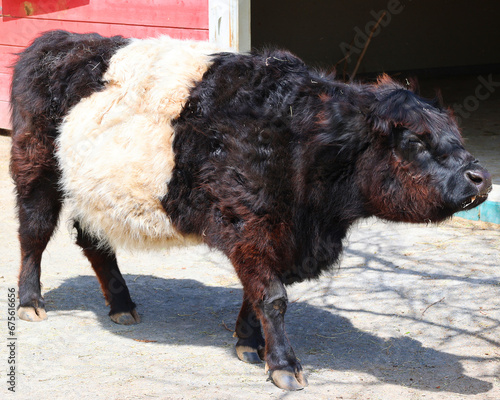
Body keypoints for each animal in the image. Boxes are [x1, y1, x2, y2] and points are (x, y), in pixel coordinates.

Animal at [9, 30, 490, 390]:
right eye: (414, 140)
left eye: (455, 132)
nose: (481, 176)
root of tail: (56, 40)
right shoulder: (248, 223)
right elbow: (273, 297)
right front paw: (283, 365)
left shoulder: (276, 237)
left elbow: (257, 291)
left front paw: (247, 341)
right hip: (35, 168)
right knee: (34, 233)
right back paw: (31, 301)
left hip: (92, 192)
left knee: (94, 242)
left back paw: (122, 304)